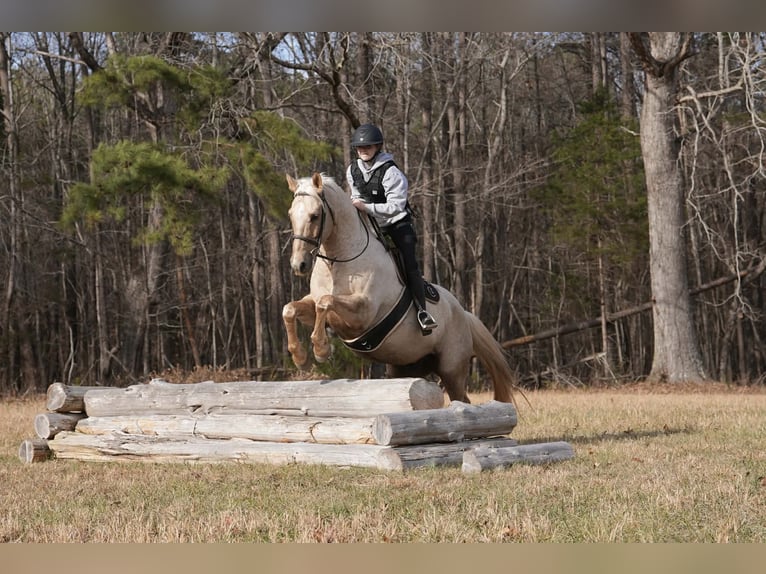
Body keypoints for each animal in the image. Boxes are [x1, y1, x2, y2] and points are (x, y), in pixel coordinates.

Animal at [282, 172, 515, 404]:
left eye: (314, 216)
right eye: (291, 215)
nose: (298, 265)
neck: (338, 260)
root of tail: (464, 314)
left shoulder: (362, 315)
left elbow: (325, 302)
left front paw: (321, 349)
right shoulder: (315, 308)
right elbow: (291, 309)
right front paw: (300, 357)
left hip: (452, 368)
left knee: (461, 397)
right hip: (405, 366)